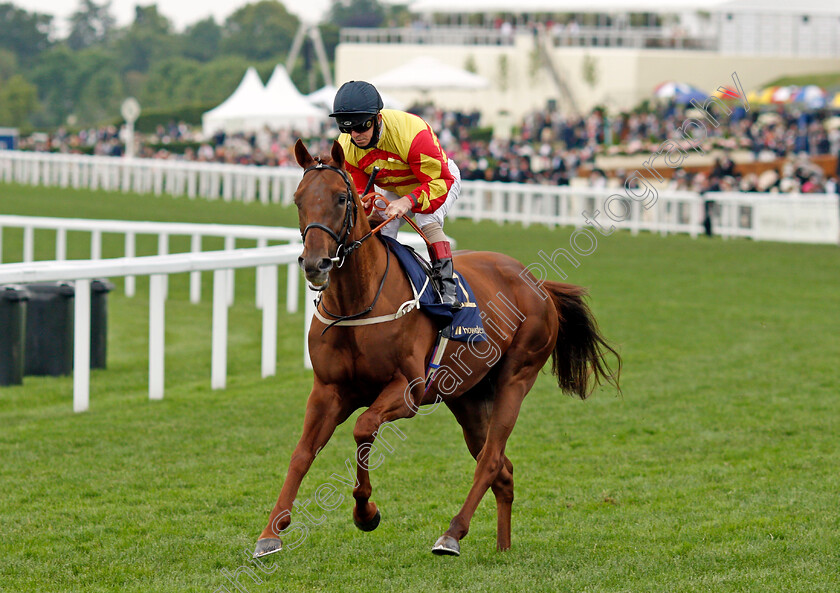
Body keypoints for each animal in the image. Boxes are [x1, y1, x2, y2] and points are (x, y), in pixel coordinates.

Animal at [253, 141, 620, 556]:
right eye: (298, 198)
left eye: (341, 197)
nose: (315, 264)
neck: (358, 304)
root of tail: (537, 282)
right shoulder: (328, 391)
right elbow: (302, 453)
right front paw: (270, 532)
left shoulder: (408, 391)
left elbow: (363, 429)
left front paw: (366, 513)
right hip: (468, 396)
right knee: (503, 470)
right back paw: (503, 547)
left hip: (516, 377)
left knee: (490, 460)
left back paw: (452, 534)